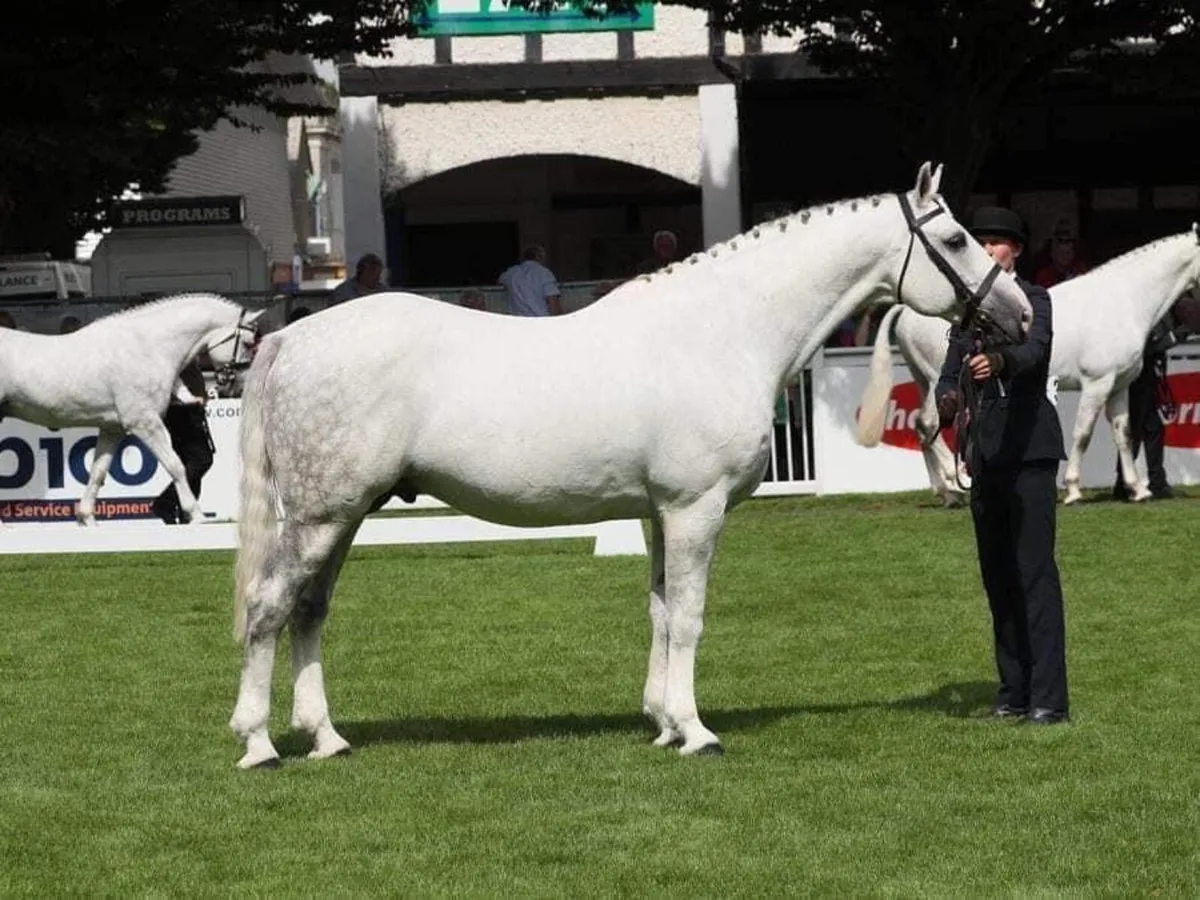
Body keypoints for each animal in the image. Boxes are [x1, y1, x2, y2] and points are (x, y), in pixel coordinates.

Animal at [0, 293, 262, 525]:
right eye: (248, 344)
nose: (238, 385)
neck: (148, 347)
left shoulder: (112, 428)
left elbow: (98, 472)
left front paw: (87, 519)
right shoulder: (145, 423)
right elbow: (176, 466)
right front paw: (196, 515)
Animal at [227, 162, 1033, 769]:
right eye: (956, 238)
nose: (1022, 315)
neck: (722, 332)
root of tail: (290, 339)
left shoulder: (657, 513)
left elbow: (660, 612)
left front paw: (664, 722)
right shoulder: (695, 509)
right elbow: (690, 617)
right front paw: (697, 731)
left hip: (341, 516)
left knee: (308, 611)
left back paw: (327, 738)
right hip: (321, 517)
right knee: (269, 609)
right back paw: (259, 743)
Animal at [855, 226, 1200, 507]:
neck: (1124, 299)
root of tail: (905, 309)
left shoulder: (1118, 386)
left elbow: (1124, 435)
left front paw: (1137, 489)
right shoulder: (1097, 383)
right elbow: (1082, 434)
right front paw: (1073, 490)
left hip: (925, 379)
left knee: (923, 427)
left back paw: (945, 492)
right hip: (940, 379)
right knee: (928, 424)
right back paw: (954, 486)